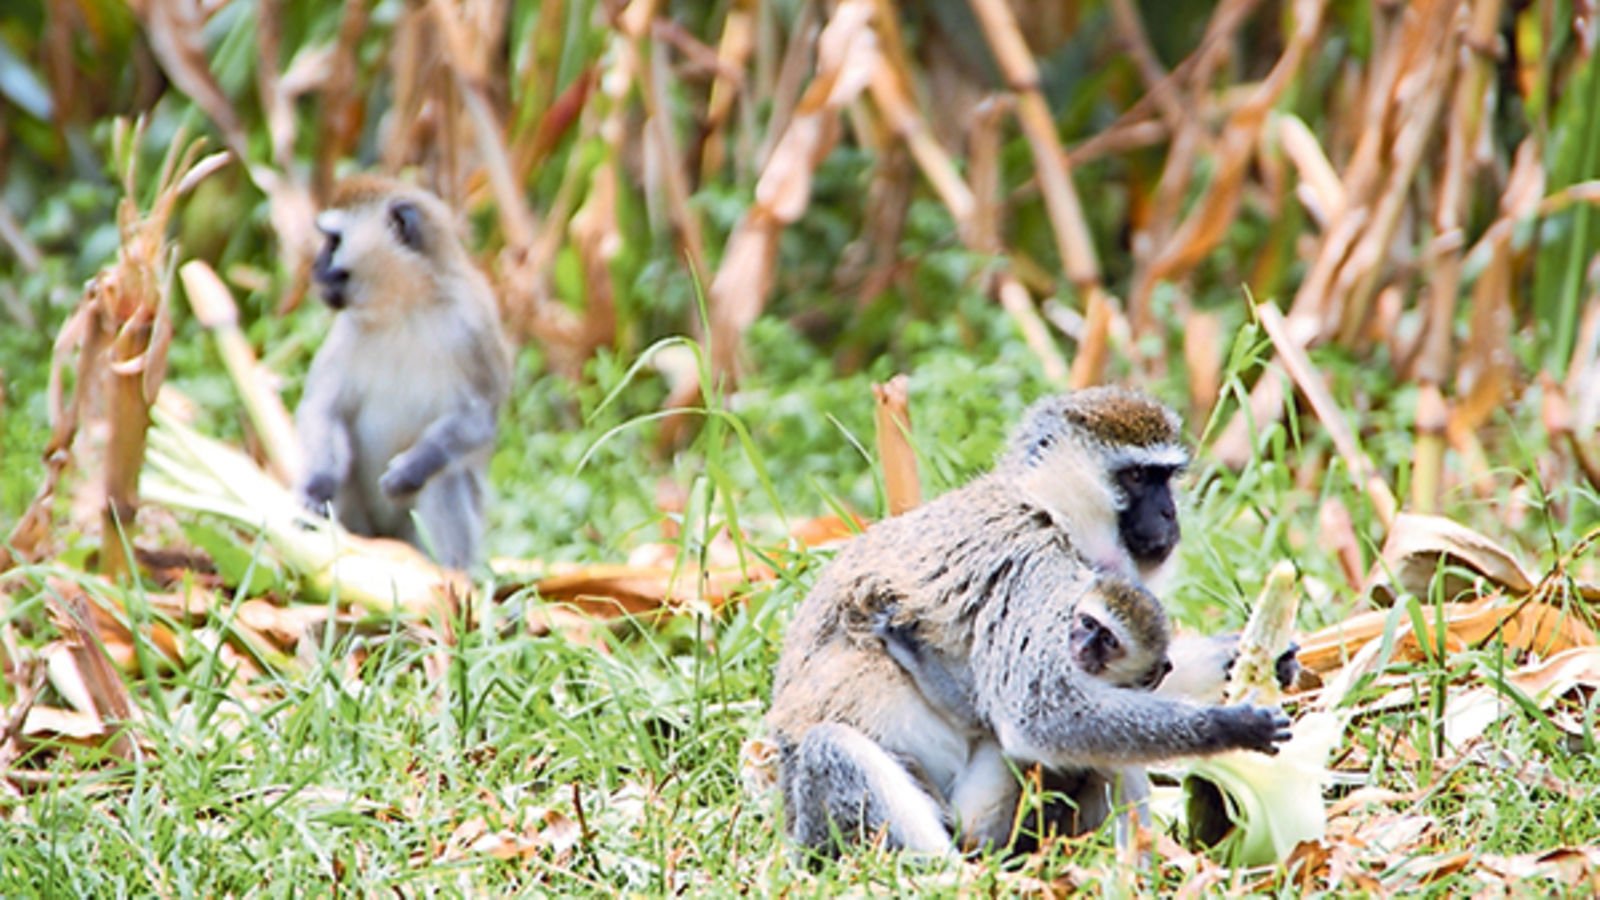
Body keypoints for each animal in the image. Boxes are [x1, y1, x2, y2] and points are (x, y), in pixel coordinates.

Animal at [292, 176, 505, 566]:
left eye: (333, 241)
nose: (313, 267)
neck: (405, 306)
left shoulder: (473, 325)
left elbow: (478, 418)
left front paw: (410, 470)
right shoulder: (346, 331)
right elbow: (323, 409)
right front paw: (317, 487)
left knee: (445, 479)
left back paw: (451, 573)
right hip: (363, 526)